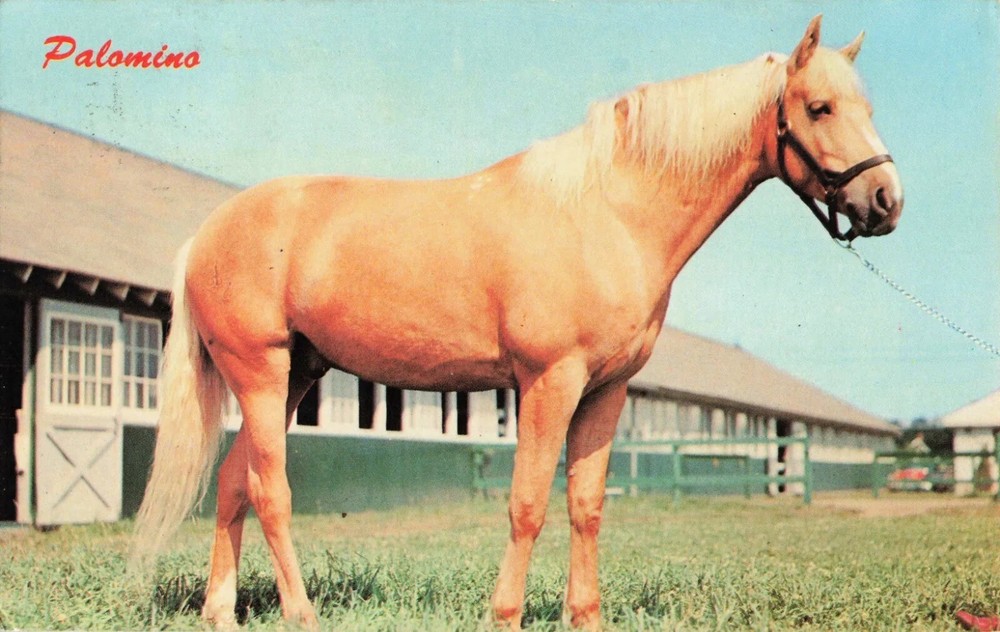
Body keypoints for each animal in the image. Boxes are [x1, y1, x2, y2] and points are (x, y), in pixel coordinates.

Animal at [134, 15, 902, 630]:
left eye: (865, 105)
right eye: (819, 106)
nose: (886, 200)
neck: (607, 213)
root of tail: (208, 233)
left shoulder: (605, 391)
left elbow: (585, 504)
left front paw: (585, 616)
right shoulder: (547, 382)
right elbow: (528, 502)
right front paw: (503, 614)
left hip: (296, 373)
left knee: (232, 484)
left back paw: (221, 612)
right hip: (262, 373)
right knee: (270, 491)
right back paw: (300, 613)